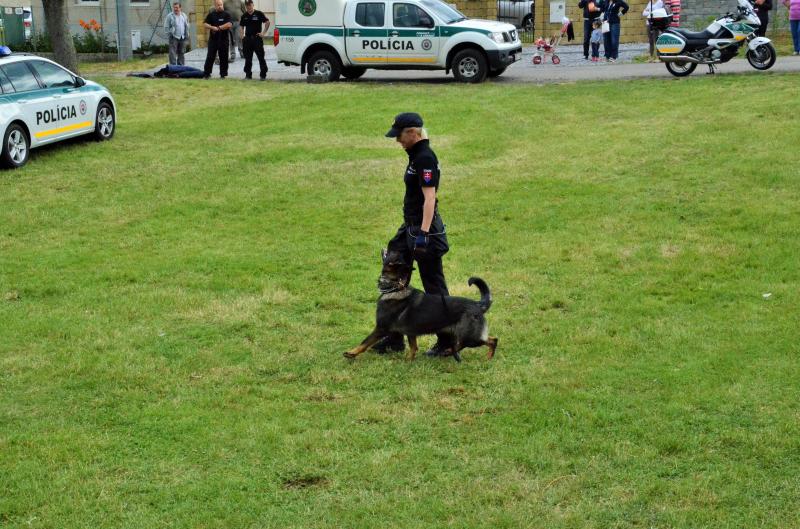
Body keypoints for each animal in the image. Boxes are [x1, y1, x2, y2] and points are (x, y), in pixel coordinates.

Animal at [344, 249, 497, 362]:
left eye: (394, 256)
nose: (395, 248)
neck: (395, 288)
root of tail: (478, 305)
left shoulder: (381, 328)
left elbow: (365, 342)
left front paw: (351, 353)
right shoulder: (410, 333)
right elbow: (413, 348)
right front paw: (409, 360)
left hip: (470, 336)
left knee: (489, 341)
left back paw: (454, 353)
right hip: (463, 334)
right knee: (488, 340)